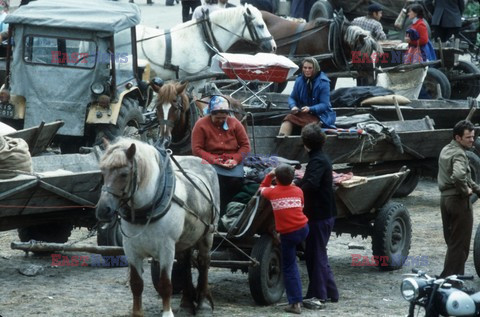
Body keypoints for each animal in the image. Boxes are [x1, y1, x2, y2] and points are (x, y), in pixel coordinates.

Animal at [96, 138, 220, 316]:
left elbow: (165, 284)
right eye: (102, 173)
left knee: (204, 263)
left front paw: (167, 312)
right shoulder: (131, 249)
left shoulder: (166, 248)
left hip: (207, 234)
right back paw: (186, 303)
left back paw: (203, 304)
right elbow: (136, 283)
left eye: (124, 174)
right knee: (185, 261)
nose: (102, 210)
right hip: (185, 239)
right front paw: (137, 313)